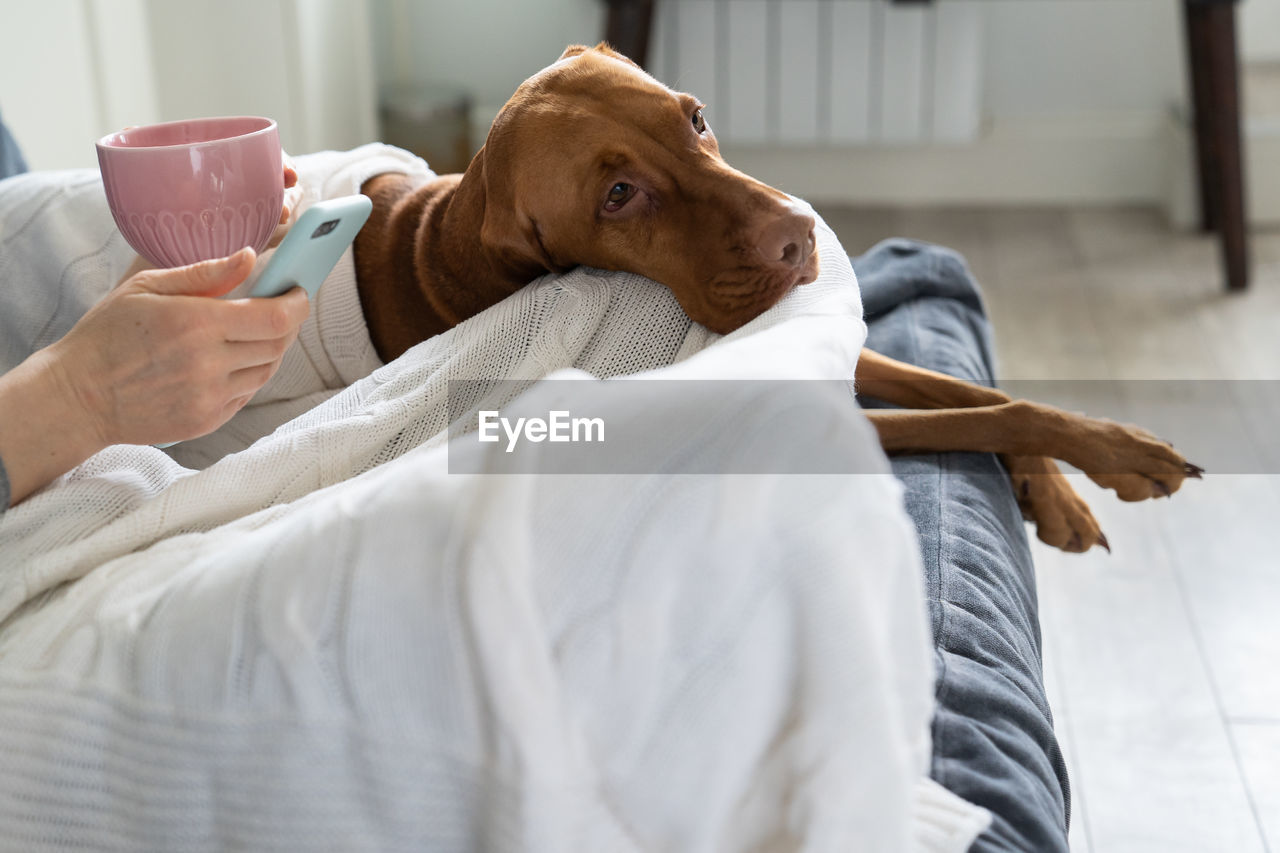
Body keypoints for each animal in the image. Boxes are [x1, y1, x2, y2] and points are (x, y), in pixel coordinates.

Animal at [350, 43, 1198, 550]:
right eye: (618, 195)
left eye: (696, 118)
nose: (800, 235)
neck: (451, 239)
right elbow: (979, 414)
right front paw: (1120, 453)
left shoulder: (825, 337)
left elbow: (978, 392)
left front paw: (1075, 475)